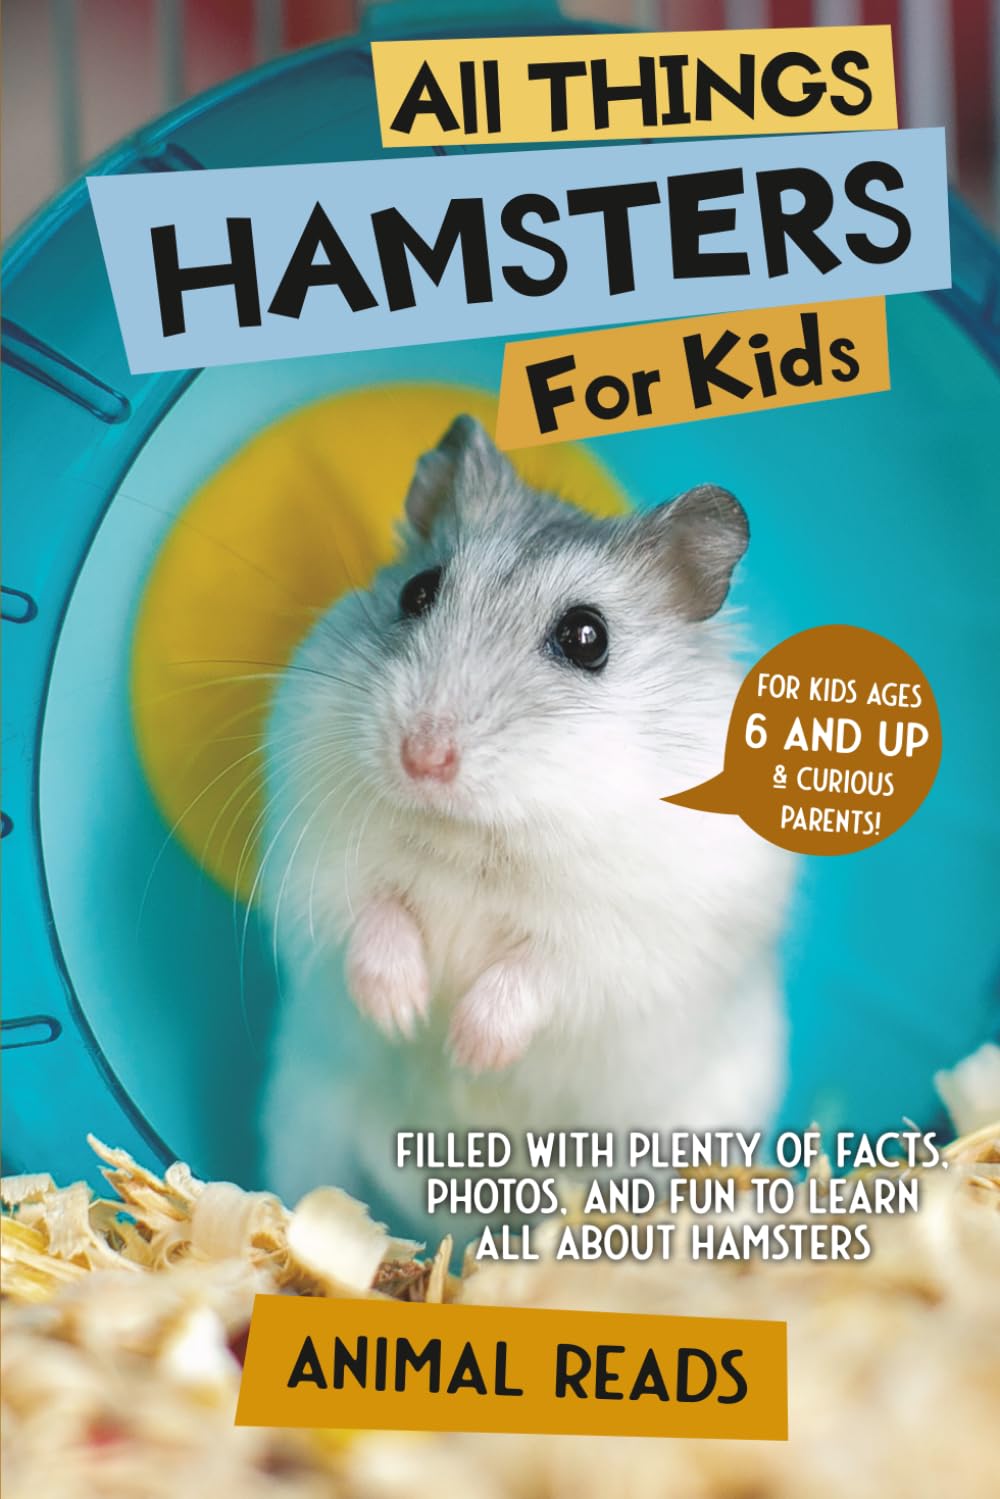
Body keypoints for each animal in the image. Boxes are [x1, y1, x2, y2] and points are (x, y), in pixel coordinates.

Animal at [260, 415, 793, 1232]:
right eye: (417, 590)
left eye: (586, 637)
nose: (422, 757)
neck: (476, 835)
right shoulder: (317, 858)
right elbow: (374, 915)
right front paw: (405, 1014)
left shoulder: (630, 940)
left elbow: (542, 970)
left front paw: (466, 1047)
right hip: (304, 1122)